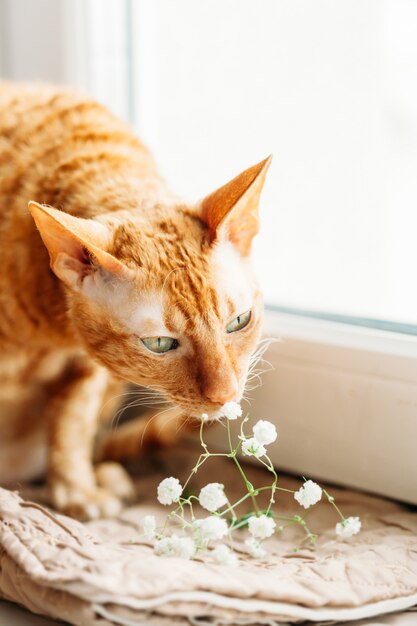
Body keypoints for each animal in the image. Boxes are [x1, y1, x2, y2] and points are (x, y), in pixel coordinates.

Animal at [0, 84, 272, 520]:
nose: (225, 396)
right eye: (160, 344)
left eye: (238, 322)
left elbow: (72, 425)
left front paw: (77, 489)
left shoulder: (86, 372)